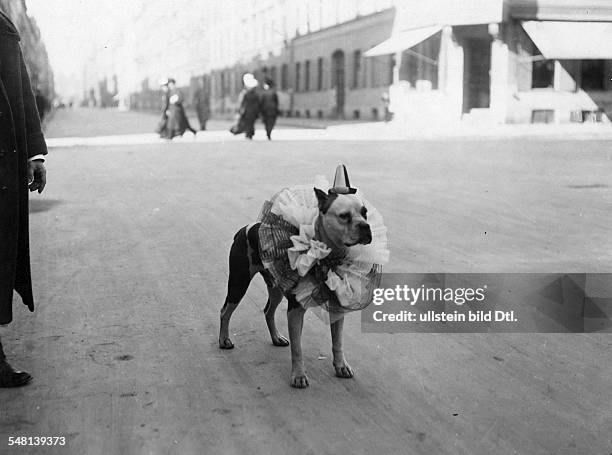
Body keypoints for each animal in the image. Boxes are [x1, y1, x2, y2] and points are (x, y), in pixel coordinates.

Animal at [220, 185, 372, 388]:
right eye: (344, 216)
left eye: (365, 213)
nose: (365, 226)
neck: (326, 256)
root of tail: (244, 229)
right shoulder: (295, 311)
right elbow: (297, 348)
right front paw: (298, 376)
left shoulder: (337, 308)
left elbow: (337, 341)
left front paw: (341, 366)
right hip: (239, 283)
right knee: (225, 311)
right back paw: (224, 340)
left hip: (276, 287)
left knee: (268, 311)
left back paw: (276, 338)